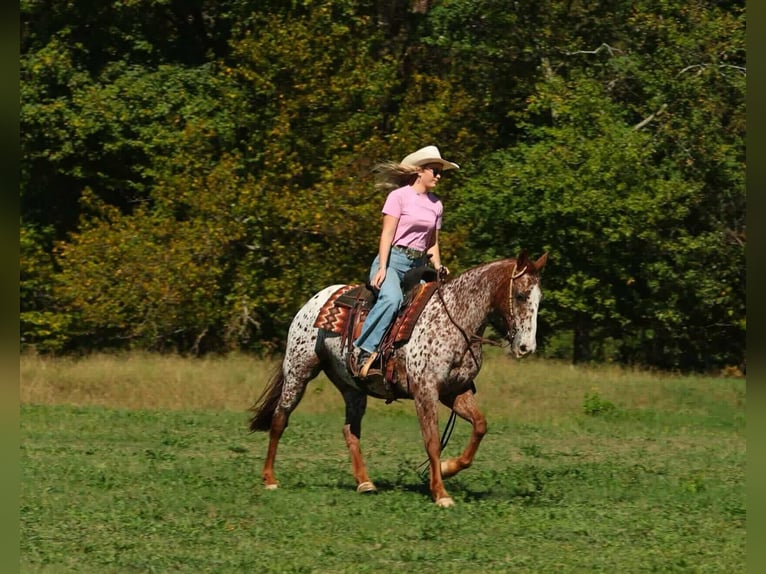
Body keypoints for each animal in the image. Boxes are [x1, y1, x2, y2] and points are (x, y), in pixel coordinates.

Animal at [248, 249, 548, 507]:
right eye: (521, 295)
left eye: (538, 298)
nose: (526, 347)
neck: (455, 320)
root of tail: (315, 300)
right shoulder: (425, 391)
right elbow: (432, 441)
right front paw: (440, 493)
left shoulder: (455, 391)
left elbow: (480, 426)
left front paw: (448, 468)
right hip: (299, 370)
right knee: (280, 419)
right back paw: (270, 479)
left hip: (352, 388)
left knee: (350, 430)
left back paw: (365, 482)